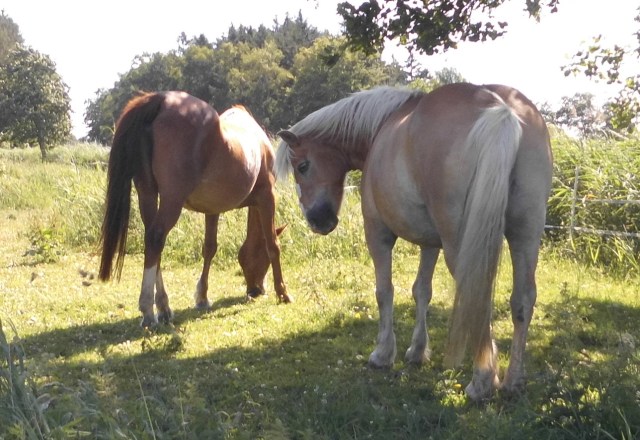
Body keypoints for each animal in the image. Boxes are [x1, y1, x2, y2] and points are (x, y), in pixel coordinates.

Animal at [98, 91, 292, 328]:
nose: (256, 291)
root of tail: (161, 99)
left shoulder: (212, 209)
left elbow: (209, 248)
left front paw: (202, 297)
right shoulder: (267, 198)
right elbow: (273, 244)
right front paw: (282, 292)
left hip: (148, 194)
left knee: (152, 243)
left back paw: (163, 306)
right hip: (172, 200)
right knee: (156, 237)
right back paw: (148, 310)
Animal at [275, 83, 552, 401]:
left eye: (302, 166)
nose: (317, 220)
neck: (381, 127)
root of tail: (499, 108)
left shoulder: (378, 233)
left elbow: (384, 291)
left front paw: (383, 354)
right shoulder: (430, 242)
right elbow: (422, 291)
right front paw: (417, 351)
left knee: (477, 298)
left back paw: (482, 382)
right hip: (525, 236)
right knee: (523, 299)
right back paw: (512, 381)